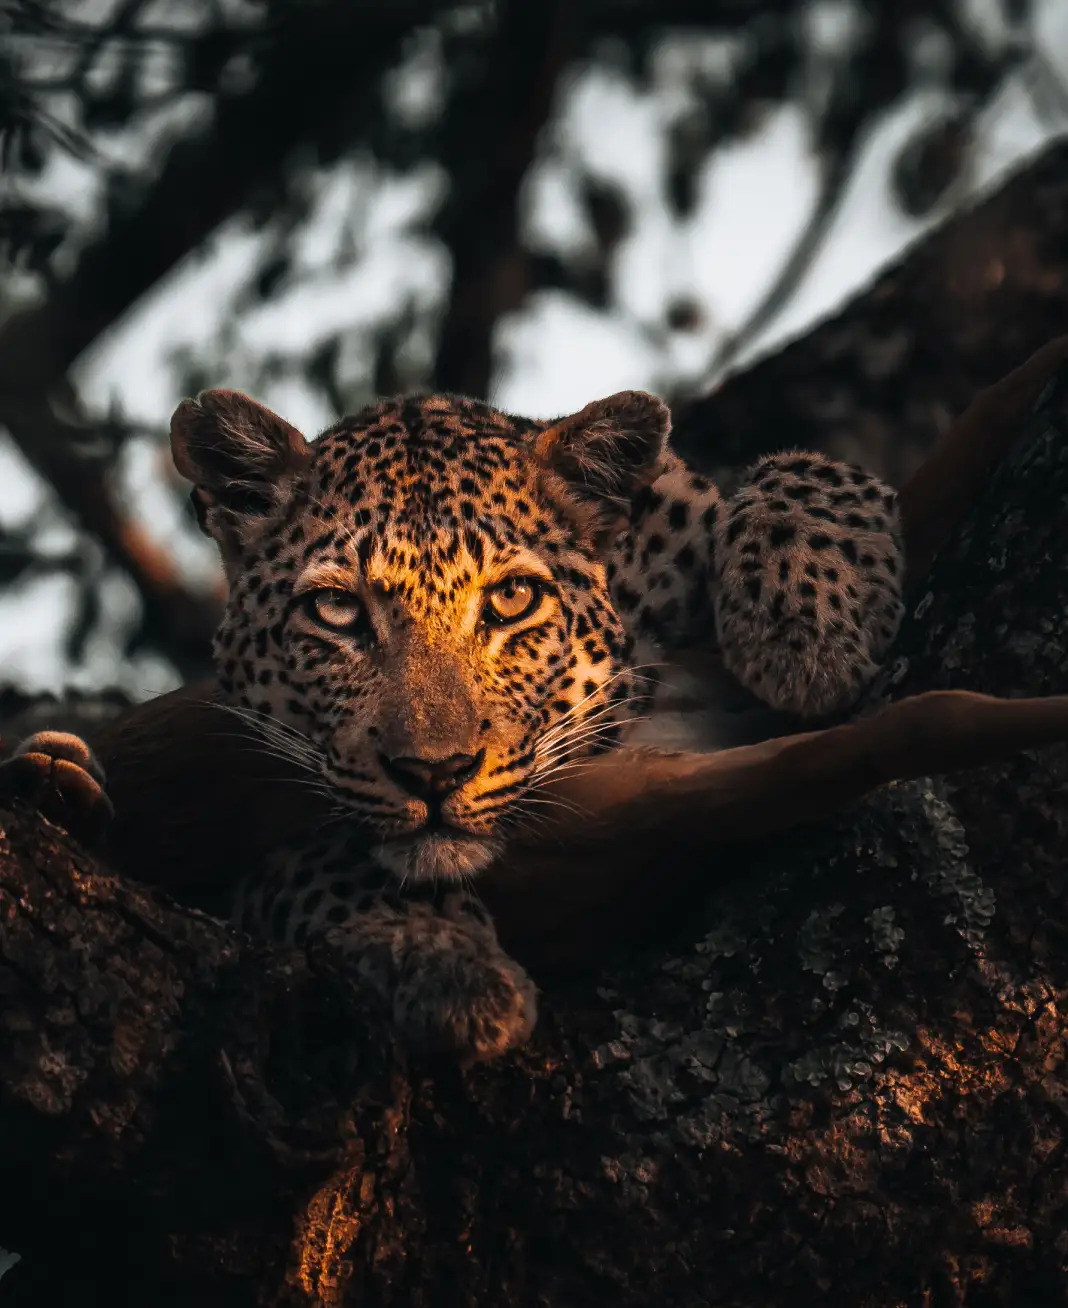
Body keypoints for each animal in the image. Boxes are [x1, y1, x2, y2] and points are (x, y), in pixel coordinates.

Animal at [2, 384, 899, 1062]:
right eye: (336, 611)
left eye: (512, 599)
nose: (434, 773)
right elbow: (334, 867)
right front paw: (449, 963)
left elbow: (805, 470)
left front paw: (809, 632)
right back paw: (54, 785)